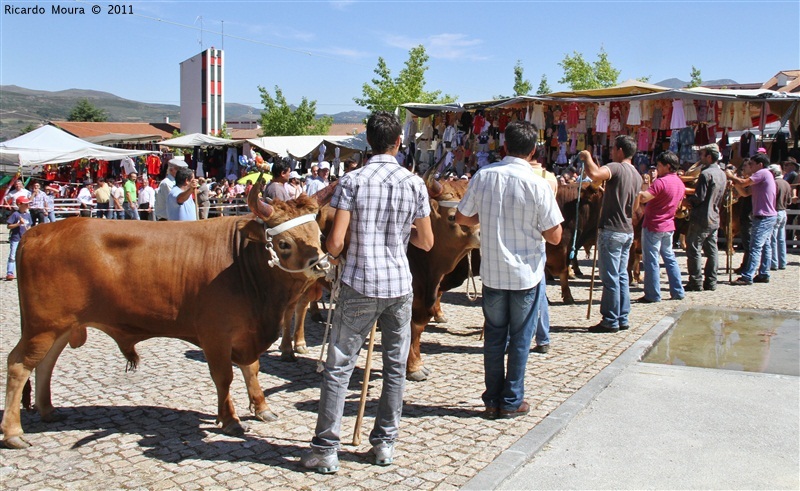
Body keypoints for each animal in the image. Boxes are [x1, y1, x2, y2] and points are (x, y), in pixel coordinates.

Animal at [2, 184, 328, 450]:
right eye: (284, 243)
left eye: (319, 234)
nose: (322, 265)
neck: (243, 265)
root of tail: (38, 232)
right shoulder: (215, 335)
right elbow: (224, 376)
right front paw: (230, 418)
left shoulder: (247, 332)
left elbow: (252, 369)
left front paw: (261, 407)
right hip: (43, 327)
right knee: (19, 365)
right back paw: (13, 432)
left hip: (59, 327)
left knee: (45, 364)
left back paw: (48, 410)